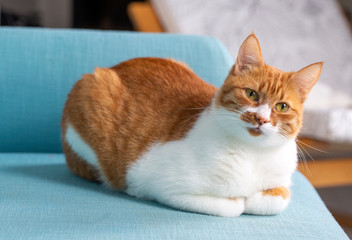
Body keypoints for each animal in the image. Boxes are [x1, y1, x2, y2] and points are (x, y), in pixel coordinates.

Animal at [61, 32, 322, 217]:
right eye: (251, 94)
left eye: (282, 107)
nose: (261, 119)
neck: (252, 155)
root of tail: (114, 67)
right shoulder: (165, 186)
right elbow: (234, 206)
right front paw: (241, 199)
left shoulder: (281, 183)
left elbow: (278, 198)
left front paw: (257, 197)